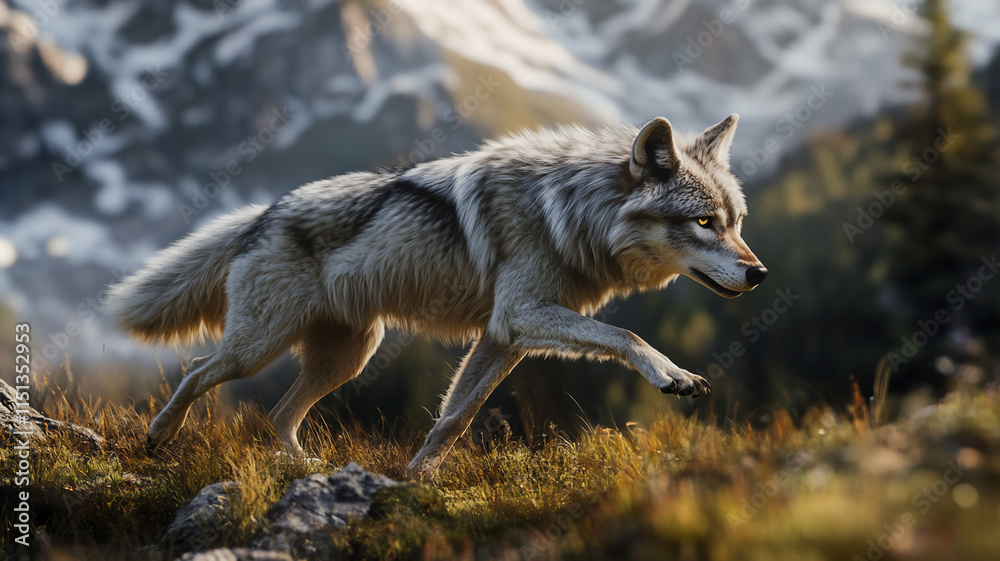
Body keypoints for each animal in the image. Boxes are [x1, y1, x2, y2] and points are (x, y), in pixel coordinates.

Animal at [107, 114, 766, 476]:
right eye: (704, 223)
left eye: (736, 222)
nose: (759, 273)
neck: (571, 213)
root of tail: (261, 214)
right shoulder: (521, 315)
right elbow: (627, 334)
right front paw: (671, 374)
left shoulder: (504, 337)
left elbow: (455, 417)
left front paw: (414, 478)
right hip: (260, 349)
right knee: (198, 368)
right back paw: (157, 438)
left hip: (349, 357)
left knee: (277, 413)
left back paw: (303, 466)